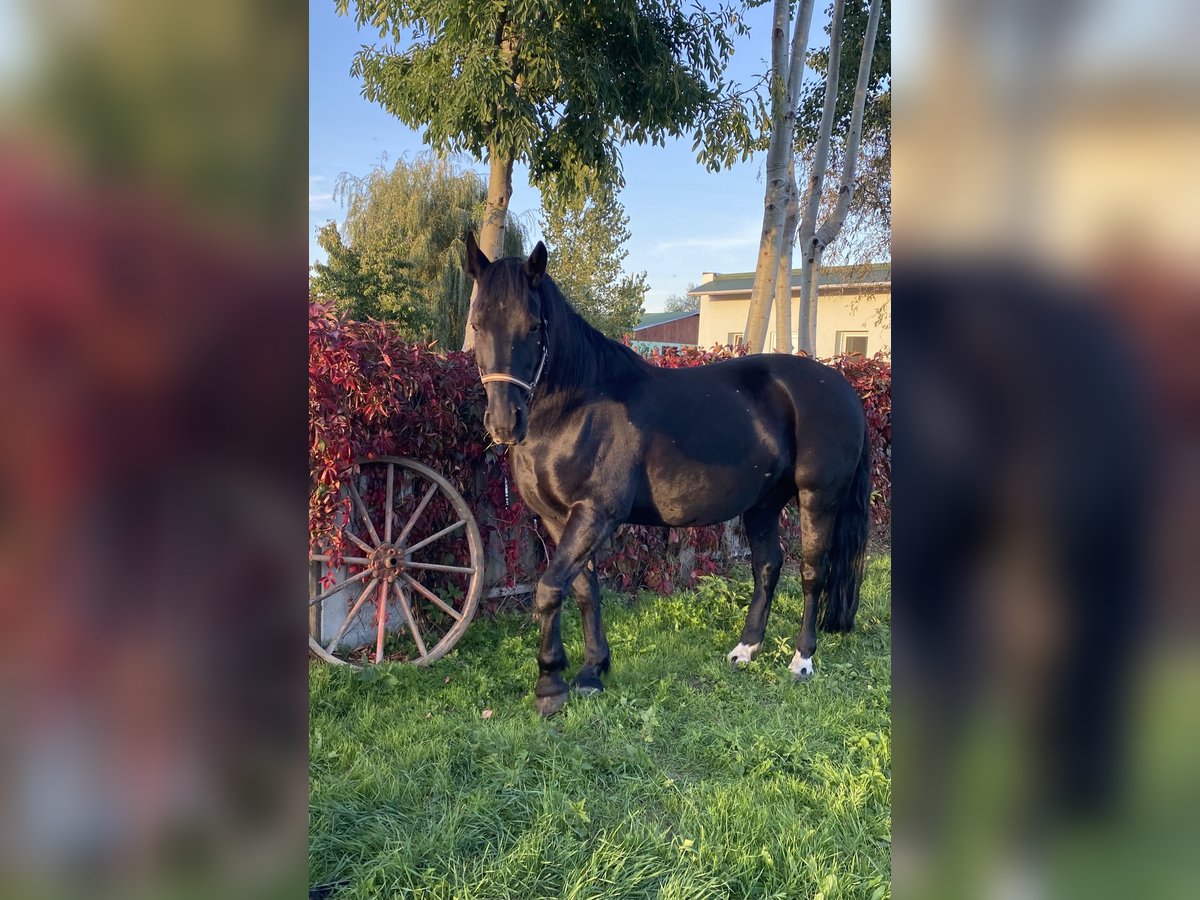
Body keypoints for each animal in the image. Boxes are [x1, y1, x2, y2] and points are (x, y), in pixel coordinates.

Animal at [465, 233, 872, 716]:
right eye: (476, 324)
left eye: (532, 325)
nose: (504, 422)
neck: (577, 407)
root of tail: (842, 387)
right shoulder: (558, 519)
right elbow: (583, 590)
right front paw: (592, 671)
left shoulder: (595, 514)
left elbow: (549, 589)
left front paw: (550, 685)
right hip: (763, 503)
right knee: (768, 567)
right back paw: (746, 649)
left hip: (817, 498)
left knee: (812, 573)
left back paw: (802, 659)